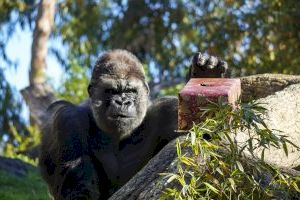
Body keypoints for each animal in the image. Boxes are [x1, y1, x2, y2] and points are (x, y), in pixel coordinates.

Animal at [39, 49, 227, 199]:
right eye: (111, 91)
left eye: (130, 91)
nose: (122, 102)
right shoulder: (68, 120)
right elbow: (78, 187)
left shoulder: (164, 110)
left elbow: (205, 132)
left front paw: (206, 75)